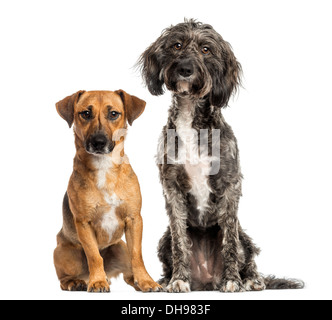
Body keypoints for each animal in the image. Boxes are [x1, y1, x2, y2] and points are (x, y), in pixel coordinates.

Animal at [53, 90, 161, 292]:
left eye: (113, 114)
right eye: (86, 113)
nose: (98, 142)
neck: (104, 166)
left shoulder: (134, 220)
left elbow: (137, 255)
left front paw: (146, 281)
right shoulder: (84, 223)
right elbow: (94, 256)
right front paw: (97, 282)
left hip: (121, 247)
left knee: (128, 272)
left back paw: (133, 281)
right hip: (65, 253)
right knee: (65, 278)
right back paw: (78, 282)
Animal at [137, 18, 304, 292]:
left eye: (206, 50)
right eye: (177, 45)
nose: (185, 69)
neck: (190, 115)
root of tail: (206, 280)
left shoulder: (229, 184)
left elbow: (229, 243)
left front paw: (232, 280)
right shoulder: (171, 187)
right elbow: (180, 241)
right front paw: (179, 280)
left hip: (244, 237)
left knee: (247, 255)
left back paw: (251, 280)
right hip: (163, 240)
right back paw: (167, 280)